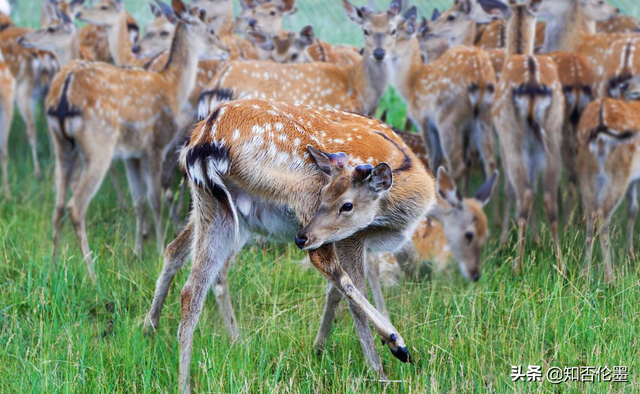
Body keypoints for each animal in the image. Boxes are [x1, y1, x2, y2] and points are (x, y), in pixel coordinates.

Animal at [47, 0, 229, 278]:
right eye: (209, 30)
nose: (225, 49)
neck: (172, 86)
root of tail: (63, 90)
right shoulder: (154, 144)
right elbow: (154, 199)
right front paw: (158, 247)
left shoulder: (131, 154)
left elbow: (139, 201)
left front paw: (137, 251)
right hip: (99, 145)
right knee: (75, 206)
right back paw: (91, 273)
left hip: (62, 144)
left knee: (58, 204)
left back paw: (54, 265)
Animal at [144, 97, 436, 390]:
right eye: (338, 202)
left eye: (346, 205)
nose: (299, 237)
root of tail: (204, 137)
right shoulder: (351, 238)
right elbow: (353, 293)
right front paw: (381, 371)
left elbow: (339, 291)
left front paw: (319, 348)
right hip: (301, 184)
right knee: (318, 261)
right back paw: (396, 343)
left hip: (214, 206)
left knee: (187, 277)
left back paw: (165, 351)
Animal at [490, 0, 564, 272]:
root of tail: (532, 83)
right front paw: (536, 239)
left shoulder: (503, 138)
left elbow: (509, 188)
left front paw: (504, 240)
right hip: (553, 131)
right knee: (548, 196)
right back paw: (561, 266)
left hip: (512, 134)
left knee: (524, 192)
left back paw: (517, 265)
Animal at [576, 98, 640, 284]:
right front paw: (631, 254)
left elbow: (632, 208)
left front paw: (630, 253)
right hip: (618, 172)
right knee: (602, 217)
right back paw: (610, 279)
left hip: (586, 171)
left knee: (591, 218)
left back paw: (584, 276)